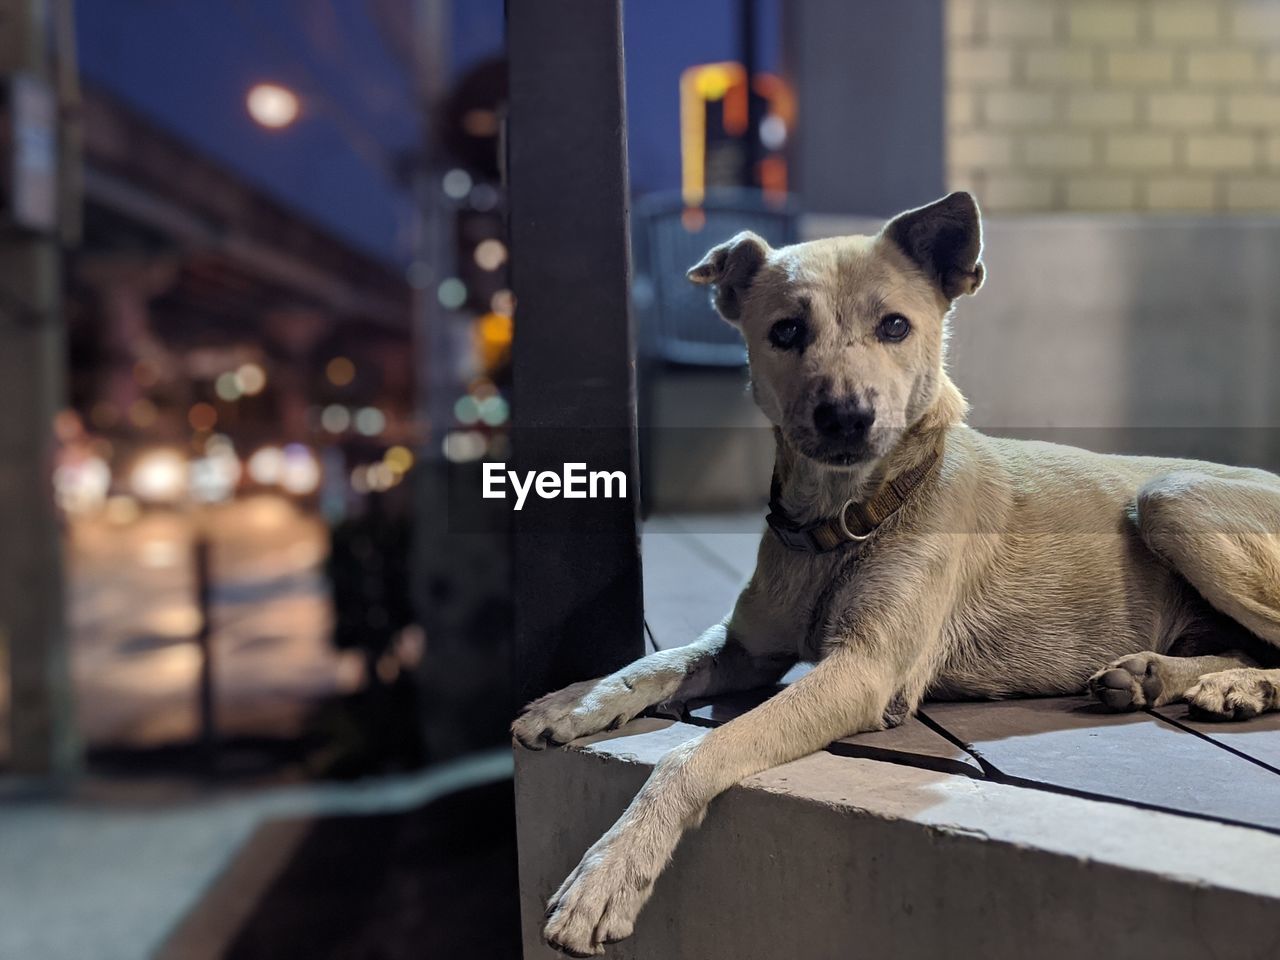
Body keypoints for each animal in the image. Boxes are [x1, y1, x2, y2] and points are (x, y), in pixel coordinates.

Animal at [509, 192, 1280, 957]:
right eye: (786, 331)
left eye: (896, 326)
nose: (846, 416)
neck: (846, 519)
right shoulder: (748, 646)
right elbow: (658, 662)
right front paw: (575, 700)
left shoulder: (863, 672)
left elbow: (696, 753)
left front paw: (609, 871)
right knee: (1241, 644)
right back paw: (1157, 675)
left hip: (1170, 498)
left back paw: (1240, 687)